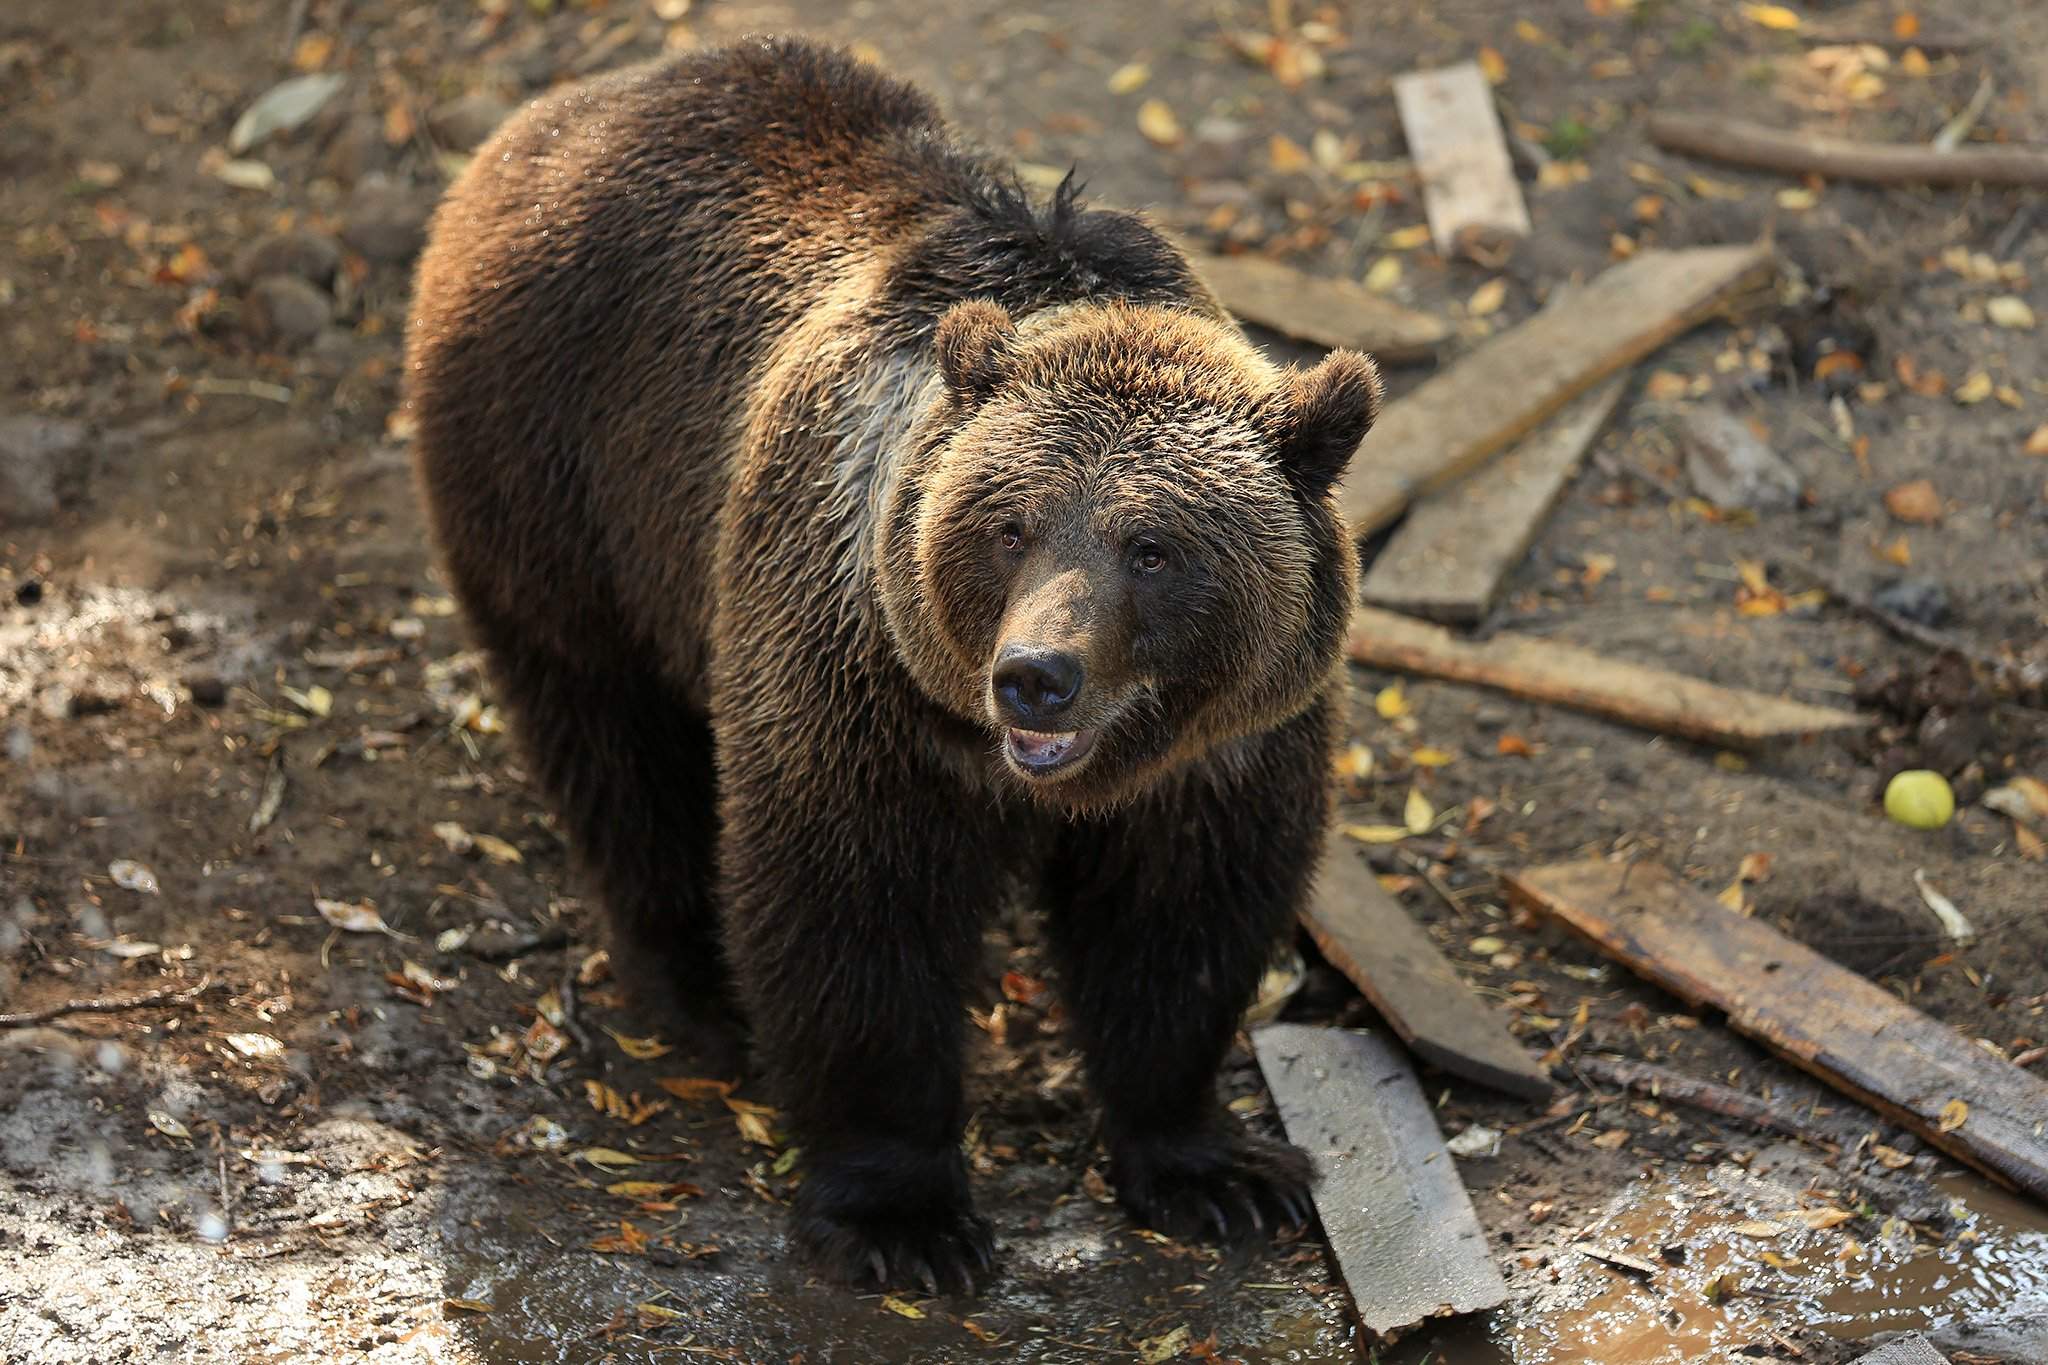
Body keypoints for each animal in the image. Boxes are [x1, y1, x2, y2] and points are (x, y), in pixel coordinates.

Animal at [403, 31, 1376, 1293]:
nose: (1035, 674)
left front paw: (1216, 1170)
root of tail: (553, 117)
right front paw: (902, 1218)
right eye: (1010, 527)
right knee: (613, 738)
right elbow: (853, 916)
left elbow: (1181, 923)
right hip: (560, 480)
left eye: (1153, 548)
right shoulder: (858, 682)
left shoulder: (1226, 748)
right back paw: (698, 983)